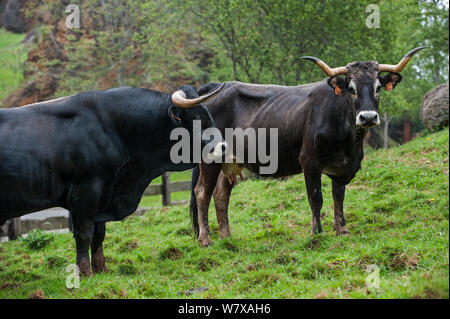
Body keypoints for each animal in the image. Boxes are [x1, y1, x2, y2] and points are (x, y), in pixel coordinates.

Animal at [0, 84, 225, 276]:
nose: (223, 146)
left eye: (210, 117)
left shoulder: (103, 195)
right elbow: (84, 233)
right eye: (197, 120)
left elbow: (99, 234)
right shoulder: (85, 193)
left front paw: (101, 269)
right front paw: (85, 273)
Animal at [189, 46, 426, 246]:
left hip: (229, 162)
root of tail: (215, 88)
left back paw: (227, 238)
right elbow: (316, 198)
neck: (348, 139)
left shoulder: (342, 167)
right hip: (210, 159)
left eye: (378, 88)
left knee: (221, 195)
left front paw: (342, 230)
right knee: (202, 192)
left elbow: (338, 196)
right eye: (351, 88)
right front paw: (317, 232)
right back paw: (206, 239)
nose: (368, 117)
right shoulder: (309, 162)